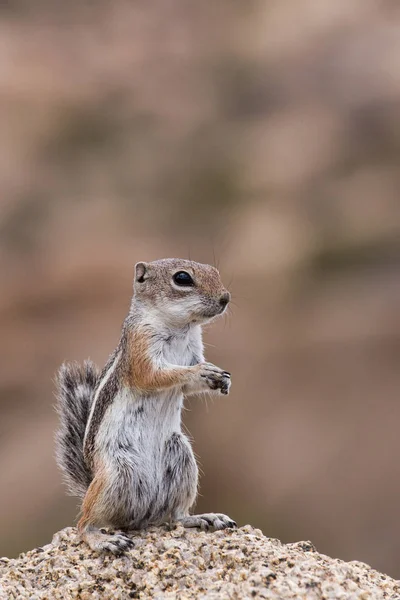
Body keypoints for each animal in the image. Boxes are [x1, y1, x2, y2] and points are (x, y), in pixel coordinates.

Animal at [56, 258, 238, 552]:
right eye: (182, 278)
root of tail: (142, 517)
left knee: (175, 515)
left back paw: (205, 518)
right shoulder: (141, 346)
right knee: (84, 523)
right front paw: (201, 372)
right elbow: (154, 376)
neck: (181, 328)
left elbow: (186, 386)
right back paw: (101, 539)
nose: (225, 298)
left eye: (215, 271)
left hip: (181, 460)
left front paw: (222, 379)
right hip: (115, 475)